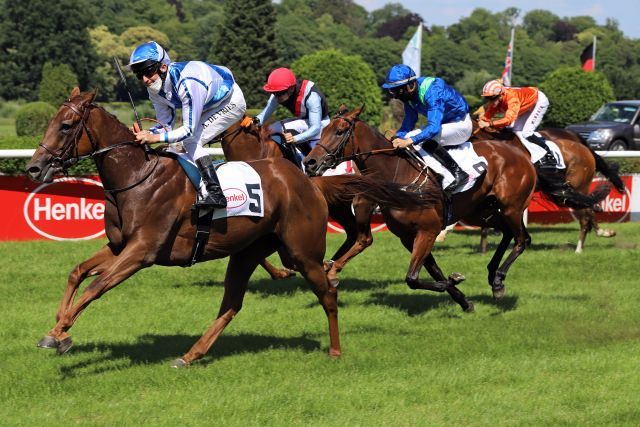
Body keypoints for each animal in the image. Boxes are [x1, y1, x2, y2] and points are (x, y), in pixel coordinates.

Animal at [25, 88, 436, 368]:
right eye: (50, 123)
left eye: (65, 126)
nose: (33, 168)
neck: (137, 177)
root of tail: (309, 182)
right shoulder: (118, 246)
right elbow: (77, 273)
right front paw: (58, 330)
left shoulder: (142, 251)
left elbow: (96, 286)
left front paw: (59, 333)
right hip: (248, 252)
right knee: (232, 304)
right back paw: (190, 355)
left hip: (301, 251)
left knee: (327, 291)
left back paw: (335, 348)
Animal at [304, 106, 540, 308]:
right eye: (323, 130)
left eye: (339, 132)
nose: (309, 162)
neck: (398, 176)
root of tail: (521, 153)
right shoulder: (408, 236)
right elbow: (432, 271)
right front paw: (464, 300)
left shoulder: (428, 230)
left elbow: (412, 278)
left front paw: (456, 281)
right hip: (480, 212)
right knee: (508, 232)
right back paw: (492, 275)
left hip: (511, 207)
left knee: (522, 239)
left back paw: (498, 280)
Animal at [470, 122, 624, 252]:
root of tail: (585, 149)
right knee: (587, 207)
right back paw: (600, 230)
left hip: (577, 185)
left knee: (585, 212)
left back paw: (580, 248)